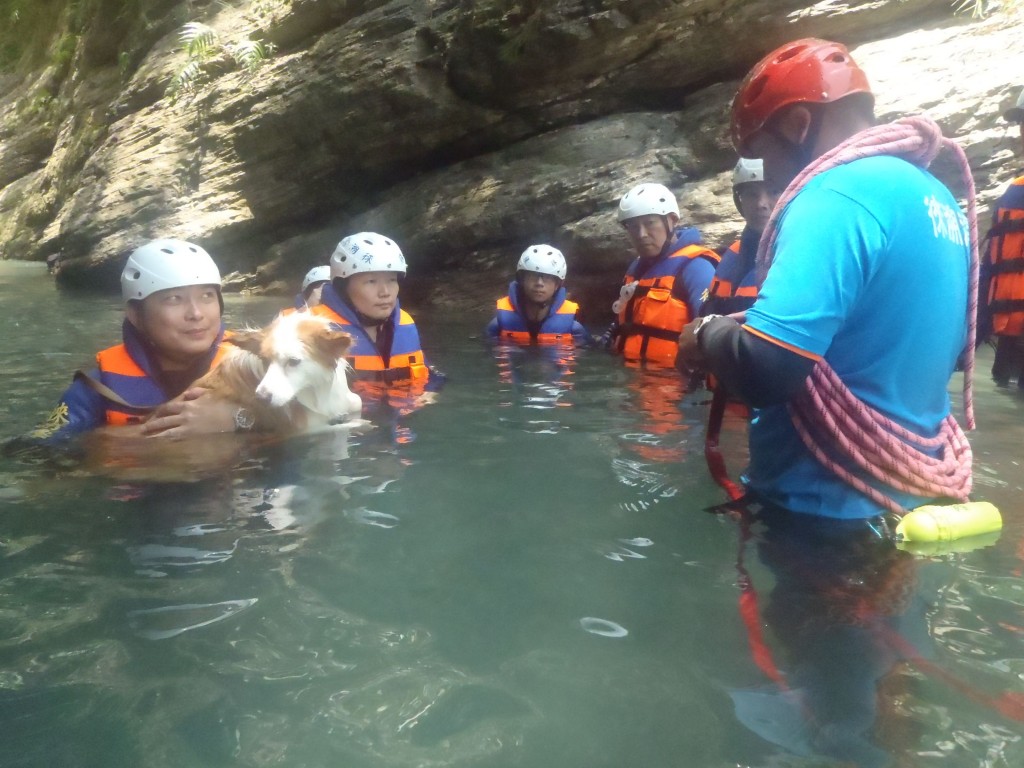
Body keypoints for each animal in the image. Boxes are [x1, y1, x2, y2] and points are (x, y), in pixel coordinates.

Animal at [195, 311, 364, 434]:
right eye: (265, 360)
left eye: (294, 361)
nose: (261, 398)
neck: (314, 390)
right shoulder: (308, 428)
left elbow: (357, 402)